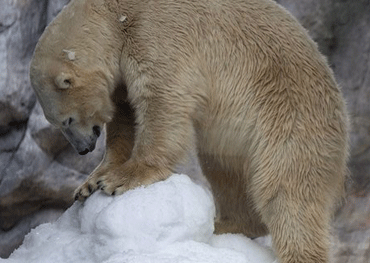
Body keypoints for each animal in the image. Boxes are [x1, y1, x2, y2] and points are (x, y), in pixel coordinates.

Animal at [30, 0, 348, 263]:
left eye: (65, 121)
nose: (83, 149)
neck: (116, 16)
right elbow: (125, 118)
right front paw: (90, 183)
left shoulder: (157, 36)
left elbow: (162, 101)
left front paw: (121, 179)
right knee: (224, 170)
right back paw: (227, 223)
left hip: (291, 117)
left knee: (286, 192)